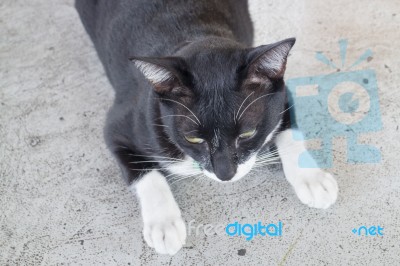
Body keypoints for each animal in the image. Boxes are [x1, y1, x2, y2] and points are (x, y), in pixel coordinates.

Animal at [76, 0, 338, 255]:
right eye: (193, 139)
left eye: (247, 133)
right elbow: (142, 169)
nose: (225, 174)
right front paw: (163, 224)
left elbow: (288, 129)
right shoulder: (121, 122)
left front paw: (312, 179)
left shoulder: (281, 94)